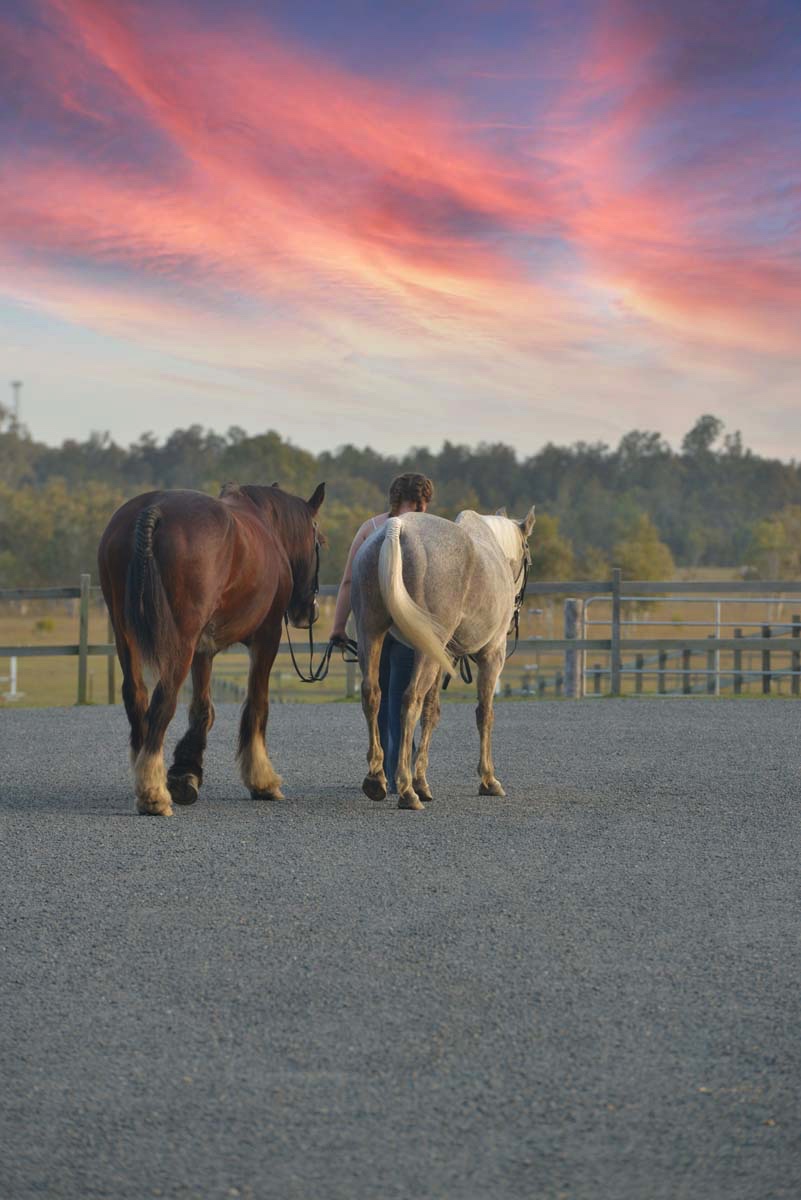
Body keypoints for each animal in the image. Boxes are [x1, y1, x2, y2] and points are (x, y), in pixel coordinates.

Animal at [98, 481, 325, 816]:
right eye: (320, 542)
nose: (308, 612)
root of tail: (154, 509)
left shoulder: (203, 650)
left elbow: (202, 708)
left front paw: (185, 773)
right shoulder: (267, 637)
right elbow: (257, 704)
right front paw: (262, 780)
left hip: (126, 636)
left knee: (136, 697)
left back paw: (146, 777)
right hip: (179, 644)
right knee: (163, 701)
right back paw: (154, 794)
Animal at [350, 505, 535, 810]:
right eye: (528, 559)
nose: (517, 609)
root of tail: (397, 528)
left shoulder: (444, 656)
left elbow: (432, 712)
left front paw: (422, 782)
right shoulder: (492, 655)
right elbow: (485, 713)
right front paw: (488, 780)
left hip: (371, 633)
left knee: (372, 695)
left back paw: (377, 778)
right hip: (425, 651)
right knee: (410, 699)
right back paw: (406, 790)